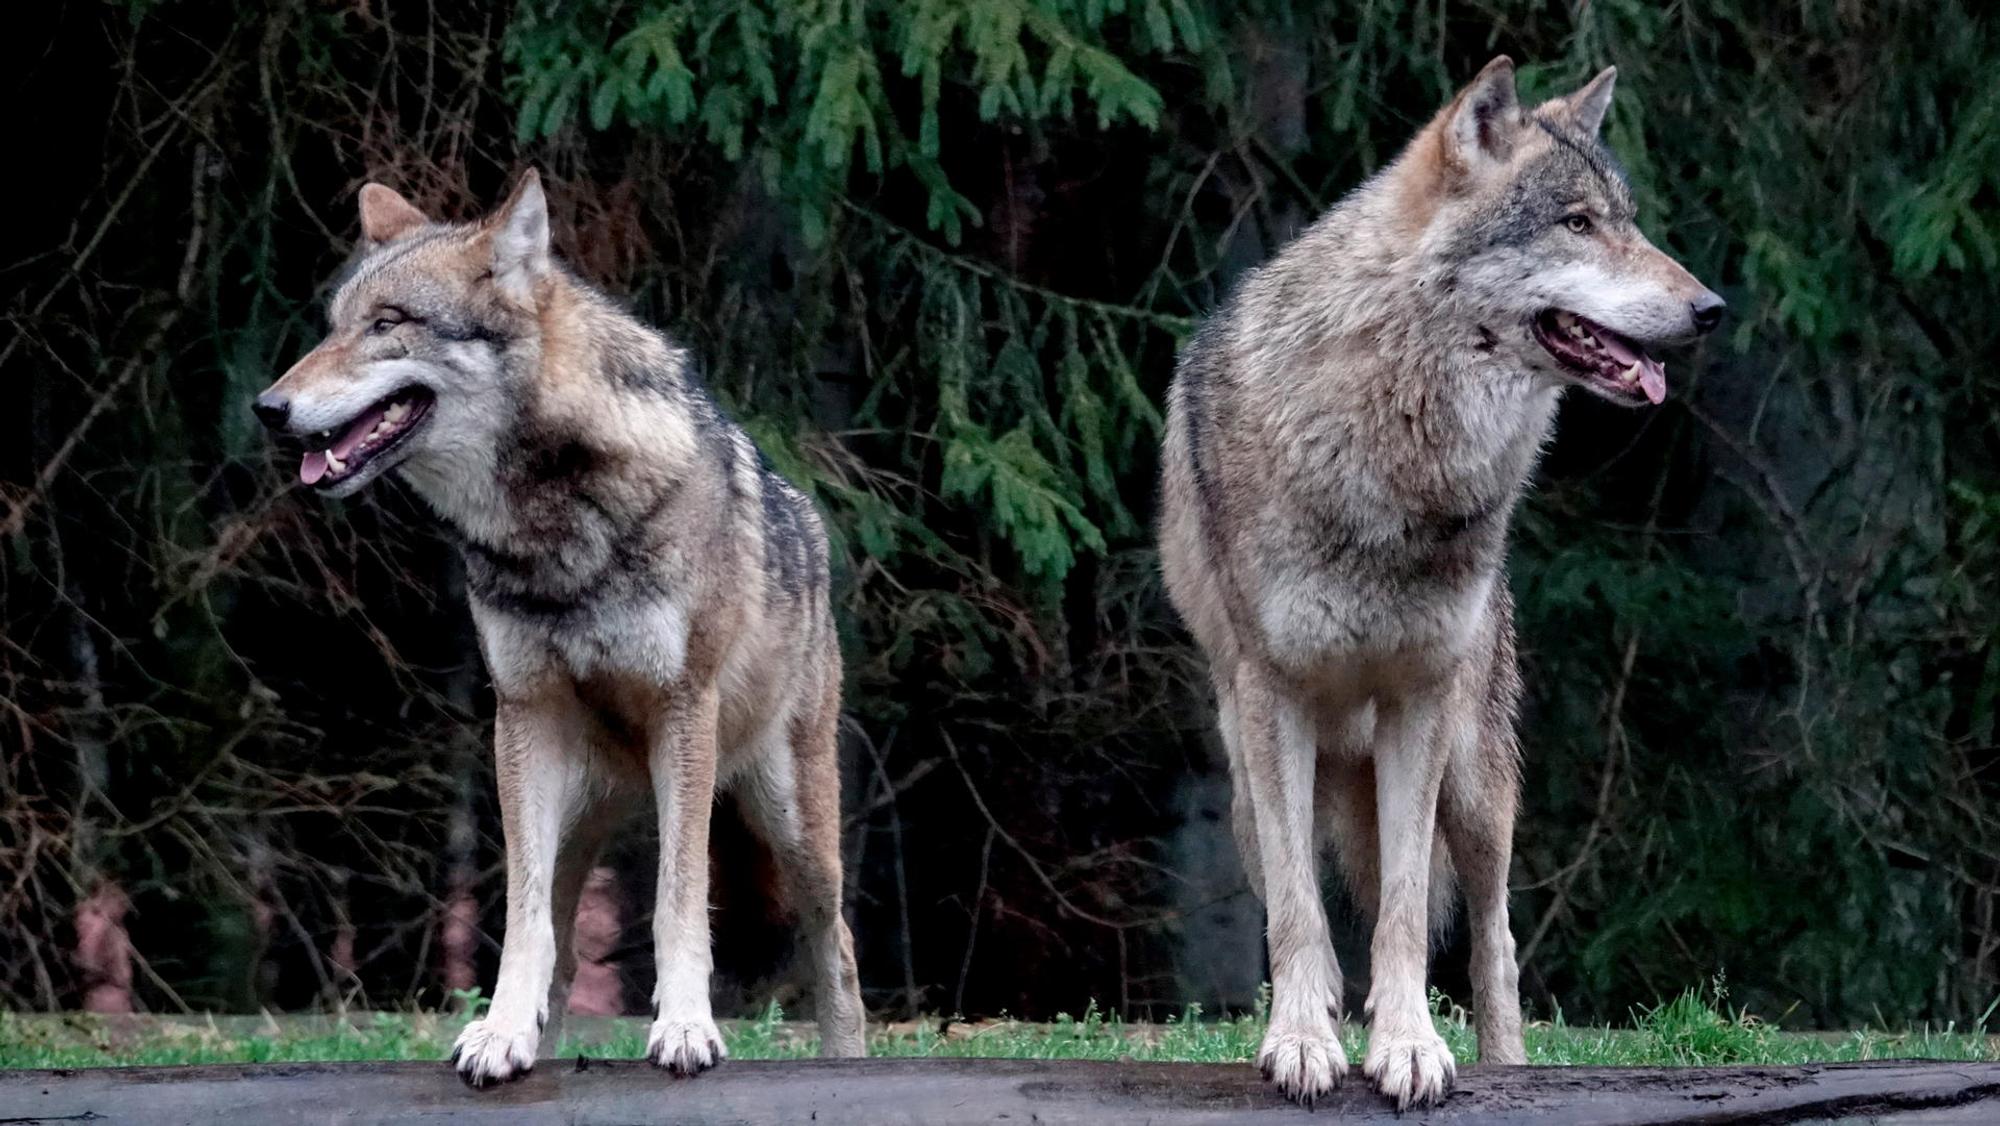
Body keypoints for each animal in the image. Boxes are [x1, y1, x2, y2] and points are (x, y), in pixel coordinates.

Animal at [253, 170, 867, 1085]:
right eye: (334, 325)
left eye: (387, 324)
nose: (268, 407)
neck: (553, 530)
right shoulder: (522, 717)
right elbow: (523, 924)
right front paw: (500, 1033)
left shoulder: (684, 711)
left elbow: (678, 903)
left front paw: (687, 1029)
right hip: (577, 813)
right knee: (565, 947)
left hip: (792, 822)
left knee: (839, 945)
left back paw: (844, 1062)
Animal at [1159, 58, 1723, 1108]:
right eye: (1576, 223)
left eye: (1626, 220)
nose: (1711, 309)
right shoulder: (1274, 702)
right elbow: (1302, 917)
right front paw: (1304, 1042)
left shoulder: (1418, 701)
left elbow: (1408, 919)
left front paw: (1411, 1048)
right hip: (1253, 791)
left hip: (1475, 783)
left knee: (1493, 940)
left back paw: (1508, 1068)